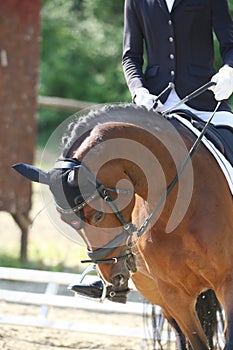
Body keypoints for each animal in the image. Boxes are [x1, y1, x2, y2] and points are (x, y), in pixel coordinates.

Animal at [13, 104, 232, 350]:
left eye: (98, 215)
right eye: (65, 221)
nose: (113, 274)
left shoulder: (228, 282)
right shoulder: (173, 295)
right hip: (156, 293)